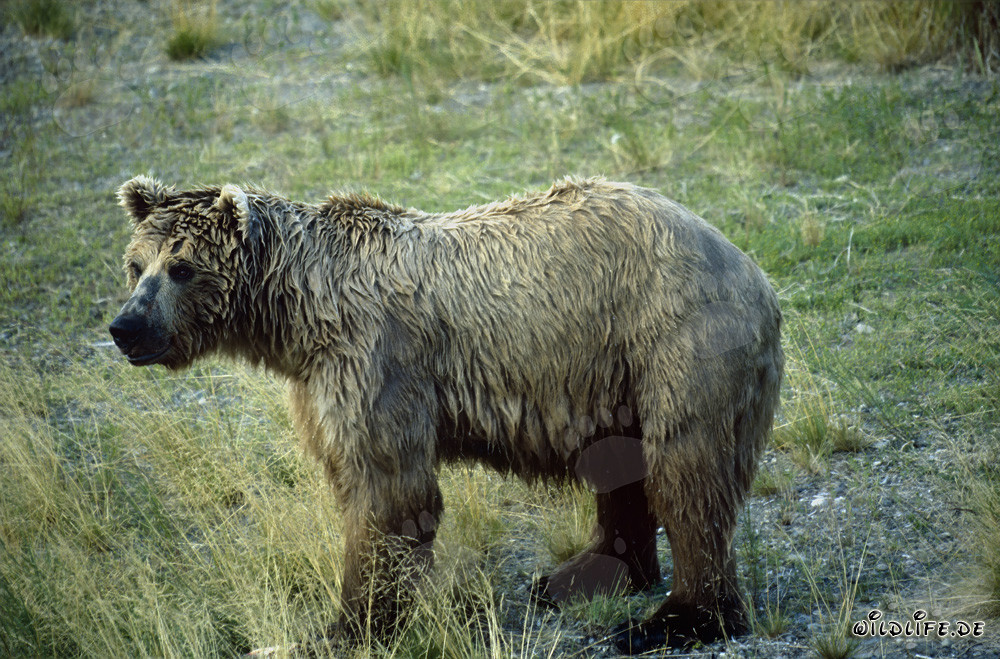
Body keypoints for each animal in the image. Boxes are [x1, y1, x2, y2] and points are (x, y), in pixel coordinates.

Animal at [109, 175, 783, 653]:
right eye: (136, 266)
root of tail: (749, 265)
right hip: (610, 370)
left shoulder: (379, 362)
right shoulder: (320, 382)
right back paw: (580, 576)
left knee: (687, 472)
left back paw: (676, 618)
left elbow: (387, 490)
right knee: (620, 464)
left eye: (182, 267)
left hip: (671, 340)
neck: (300, 316)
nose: (126, 327)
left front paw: (348, 626)